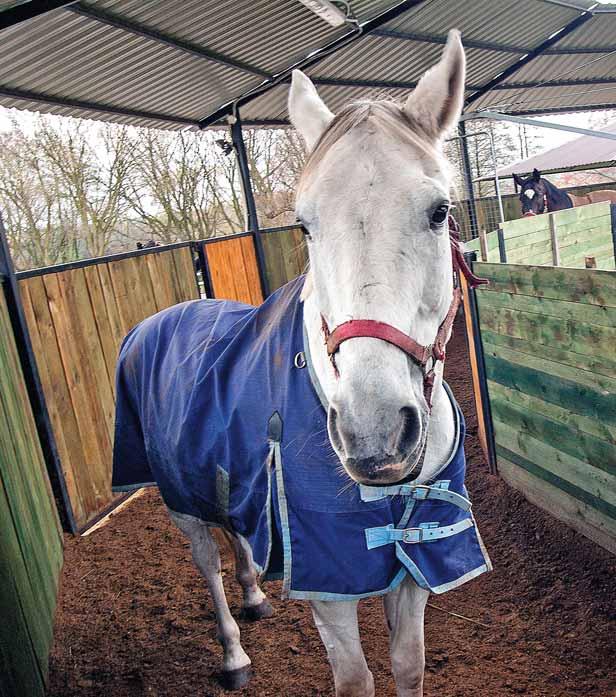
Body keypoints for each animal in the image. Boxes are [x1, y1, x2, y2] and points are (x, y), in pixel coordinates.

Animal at [168, 31, 466, 696]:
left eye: (439, 211)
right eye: (304, 224)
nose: (374, 432)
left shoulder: (411, 562)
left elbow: (409, 665)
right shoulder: (327, 578)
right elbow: (355, 679)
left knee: (239, 543)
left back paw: (255, 596)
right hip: (182, 503)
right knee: (208, 567)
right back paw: (234, 652)